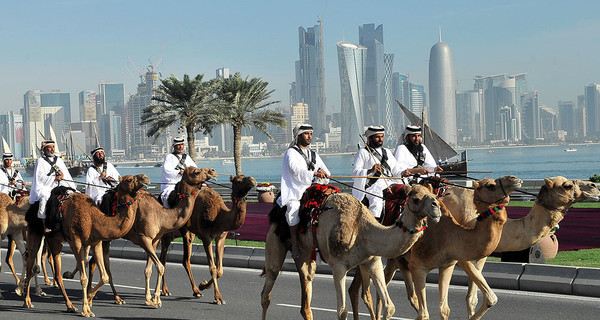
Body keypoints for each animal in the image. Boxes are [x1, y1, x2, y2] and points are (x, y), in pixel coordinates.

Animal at [21, 174, 149, 316]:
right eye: (129, 179)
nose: (145, 178)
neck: (94, 219)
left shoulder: (96, 243)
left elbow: (104, 276)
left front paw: (89, 298)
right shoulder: (76, 242)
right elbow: (84, 278)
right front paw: (86, 309)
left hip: (55, 240)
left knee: (56, 273)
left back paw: (70, 305)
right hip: (35, 232)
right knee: (31, 262)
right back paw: (27, 301)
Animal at [62, 166, 218, 306]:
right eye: (196, 171)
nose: (212, 171)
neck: (161, 215)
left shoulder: (154, 240)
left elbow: (149, 269)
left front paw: (150, 298)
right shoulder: (144, 238)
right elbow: (159, 266)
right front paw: (156, 299)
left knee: (93, 261)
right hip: (104, 236)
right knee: (97, 262)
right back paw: (101, 295)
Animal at [158, 175, 256, 304]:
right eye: (239, 180)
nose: (253, 180)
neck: (219, 217)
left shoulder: (221, 237)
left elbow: (220, 270)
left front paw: (203, 285)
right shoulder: (206, 238)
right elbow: (212, 268)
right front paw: (218, 298)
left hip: (188, 232)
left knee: (185, 259)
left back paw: (196, 291)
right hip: (168, 229)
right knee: (163, 258)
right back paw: (165, 290)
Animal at [260, 184, 442, 320]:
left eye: (433, 194)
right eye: (416, 199)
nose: (437, 208)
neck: (362, 228)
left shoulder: (373, 261)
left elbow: (389, 307)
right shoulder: (338, 266)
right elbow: (342, 312)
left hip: (307, 255)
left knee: (306, 290)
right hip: (276, 241)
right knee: (267, 288)